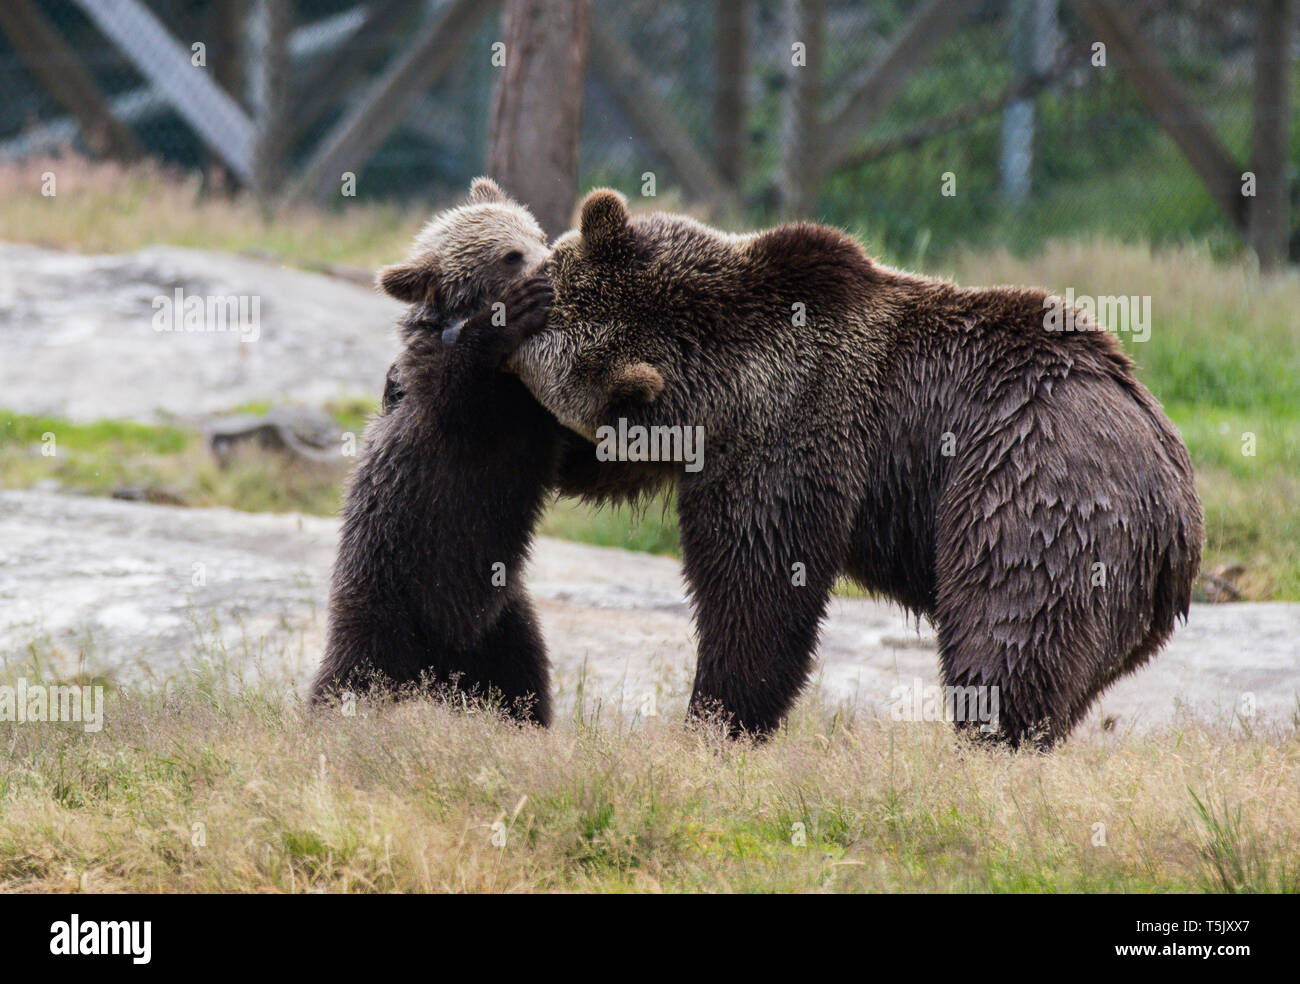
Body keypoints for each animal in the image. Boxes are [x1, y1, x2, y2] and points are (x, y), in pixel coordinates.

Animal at [310, 178, 670, 722]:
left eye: (538, 234)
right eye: (509, 255)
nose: (551, 271)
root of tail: (440, 663)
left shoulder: (541, 424)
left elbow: (589, 462)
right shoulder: (451, 414)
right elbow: (459, 389)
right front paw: (512, 313)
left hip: (502, 615)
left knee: (521, 678)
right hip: (389, 590)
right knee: (355, 672)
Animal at [507, 188, 1204, 746]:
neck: (721, 378)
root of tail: (1175, 499)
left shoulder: (789, 437)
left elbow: (758, 589)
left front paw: (716, 720)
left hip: (1032, 494)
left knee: (1009, 633)